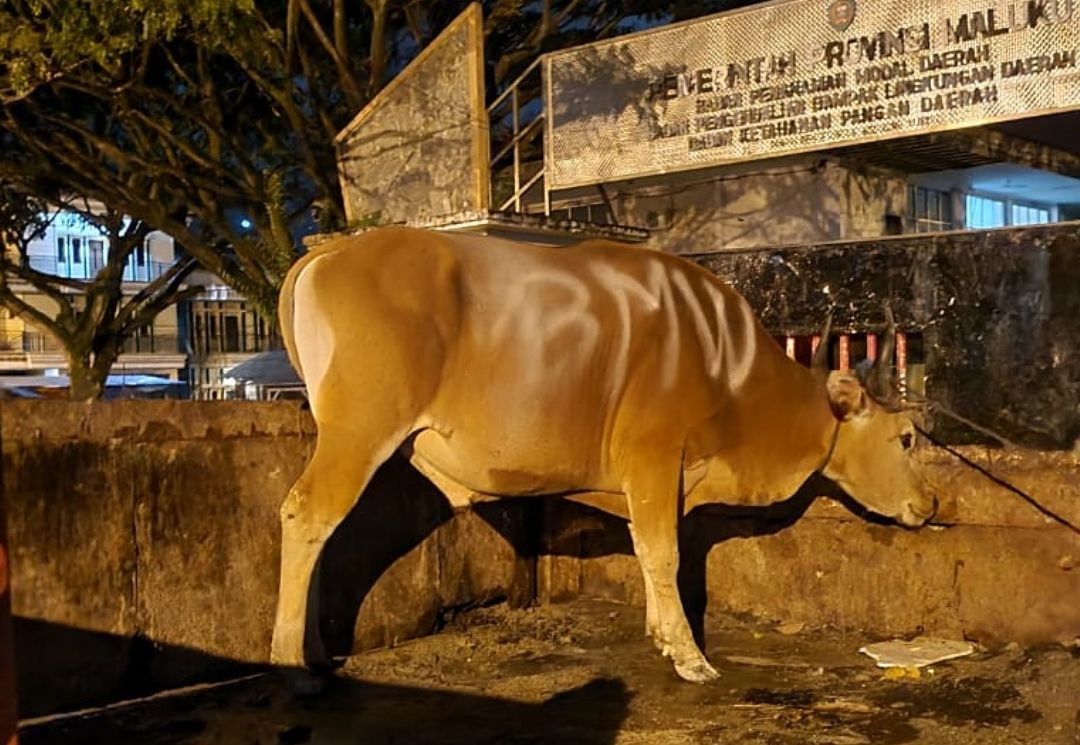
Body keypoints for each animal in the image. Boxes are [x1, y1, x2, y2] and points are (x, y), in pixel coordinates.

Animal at [270, 224, 937, 678]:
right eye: (905, 437)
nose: (930, 503)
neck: (726, 363)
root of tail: (331, 251)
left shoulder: (656, 478)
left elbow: (648, 550)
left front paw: (663, 635)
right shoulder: (654, 457)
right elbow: (664, 552)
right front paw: (690, 656)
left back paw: (316, 650)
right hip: (360, 432)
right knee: (306, 514)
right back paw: (290, 661)